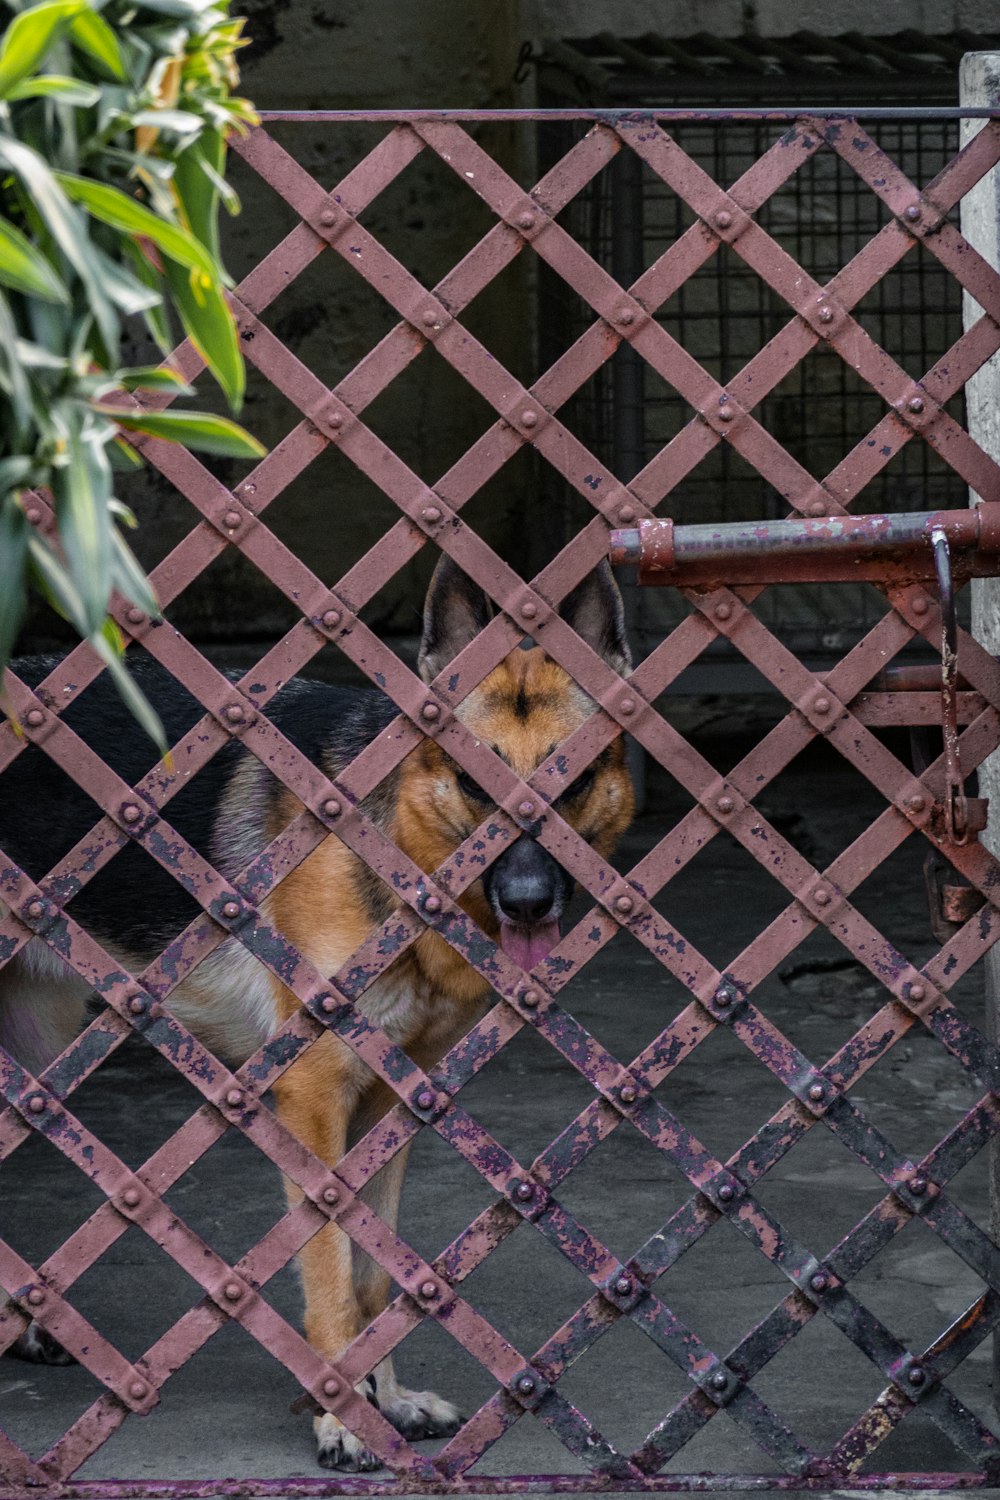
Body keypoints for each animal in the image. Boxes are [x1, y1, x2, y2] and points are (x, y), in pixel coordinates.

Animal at [0, 558, 638, 1470]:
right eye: (474, 785)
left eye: (575, 780)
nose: (525, 903)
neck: (393, 847)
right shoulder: (311, 1101)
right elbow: (334, 1273)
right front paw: (342, 1417)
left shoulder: (390, 1107)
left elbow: (376, 1277)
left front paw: (386, 1400)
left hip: (39, 1052)